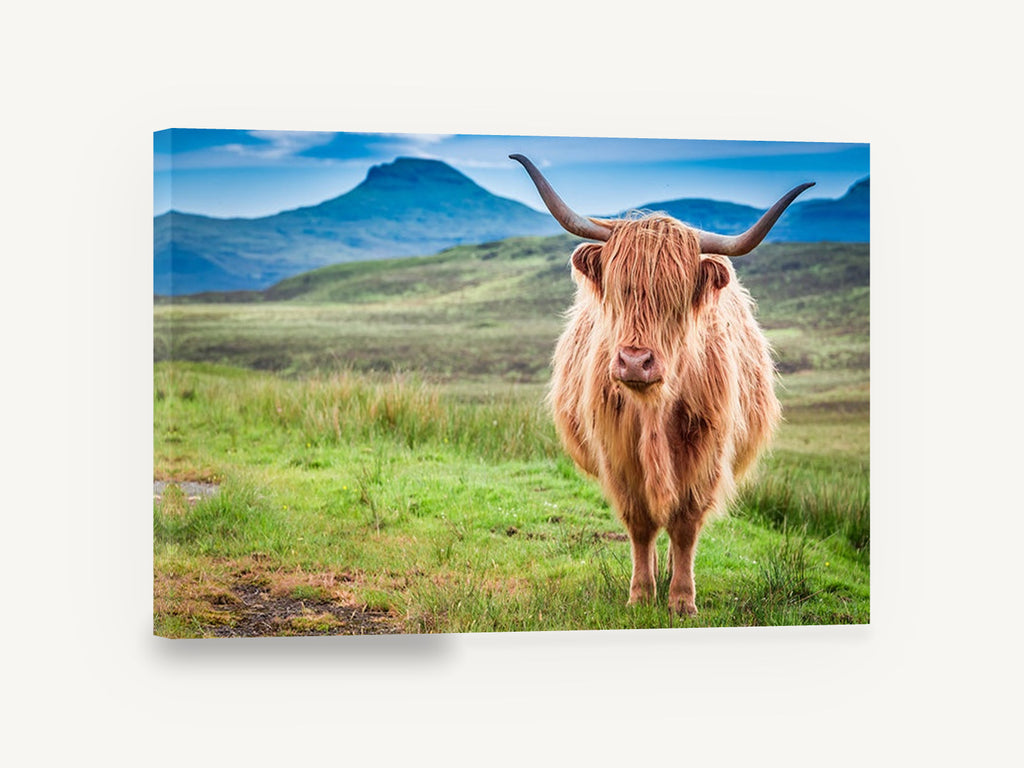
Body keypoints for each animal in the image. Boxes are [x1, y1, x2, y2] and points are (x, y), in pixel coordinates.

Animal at [510, 154, 813, 615]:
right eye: (618, 290)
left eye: (676, 297)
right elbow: (639, 524)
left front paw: (682, 600)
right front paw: (640, 594)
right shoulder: (617, 455)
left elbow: (685, 526)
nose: (635, 361)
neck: (653, 409)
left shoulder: (705, 454)